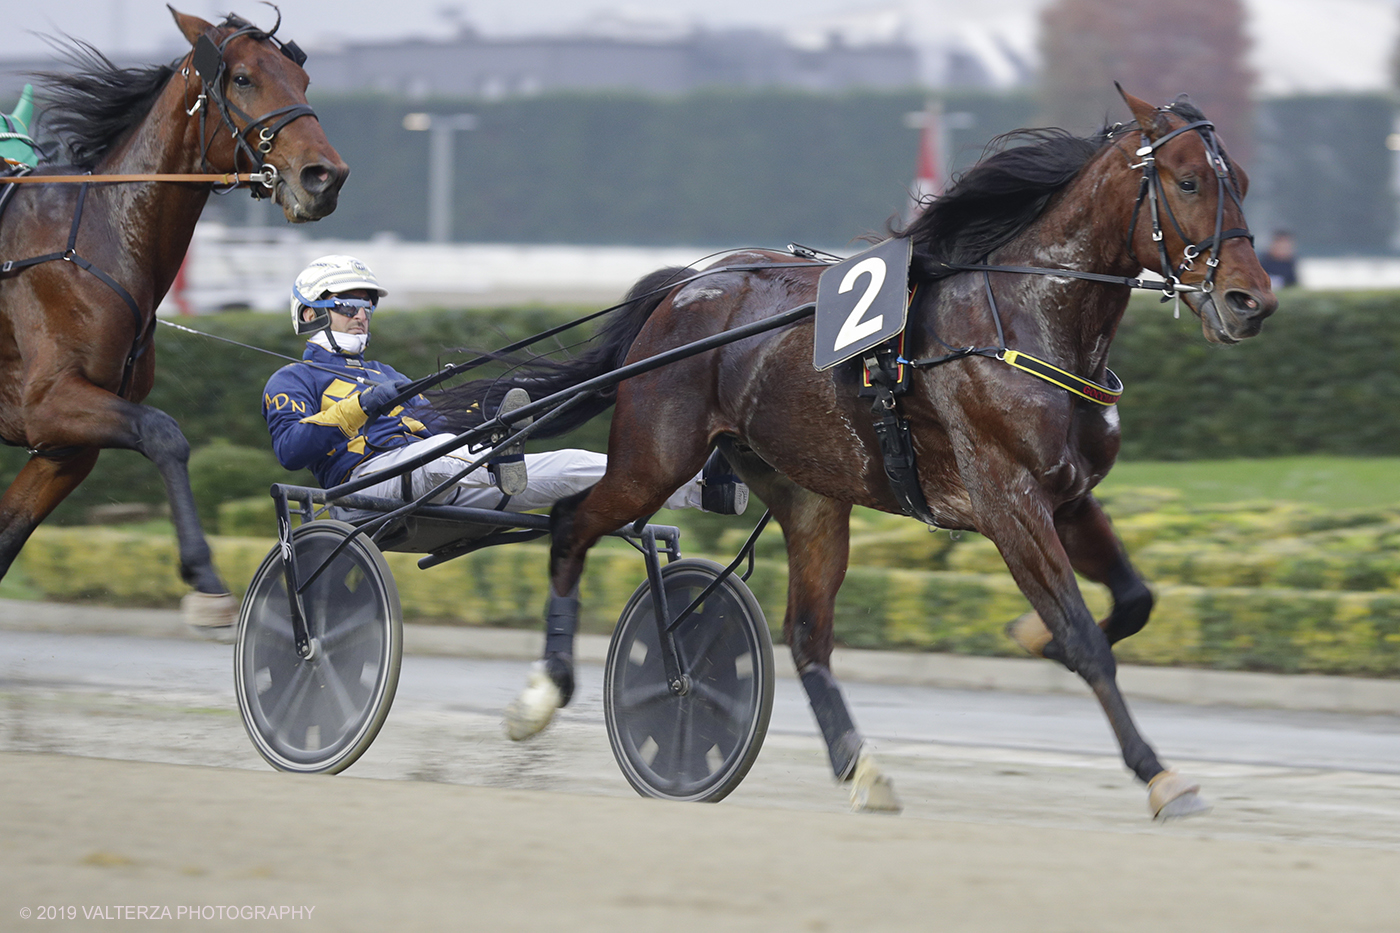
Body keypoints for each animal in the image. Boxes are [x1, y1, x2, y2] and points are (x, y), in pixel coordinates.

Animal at [0, 9, 348, 624]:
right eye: (243, 79)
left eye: (302, 81)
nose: (325, 176)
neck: (98, 237)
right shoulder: (46, 403)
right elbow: (164, 433)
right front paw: (205, 578)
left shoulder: (62, 449)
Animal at [442, 85, 1276, 812]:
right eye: (1189, 180)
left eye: (1239, 180)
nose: (1252, 302)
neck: (1022, 317)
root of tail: (685, 286)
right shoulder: (1008, 498)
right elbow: (1085, 638)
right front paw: (1161, 775)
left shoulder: (1069, 495)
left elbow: (1132, 601)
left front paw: (1031, 634)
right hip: (655, 456)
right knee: (572, 524)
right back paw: (542, 692)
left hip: (809, 493)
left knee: (806, 636)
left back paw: (860, 765)